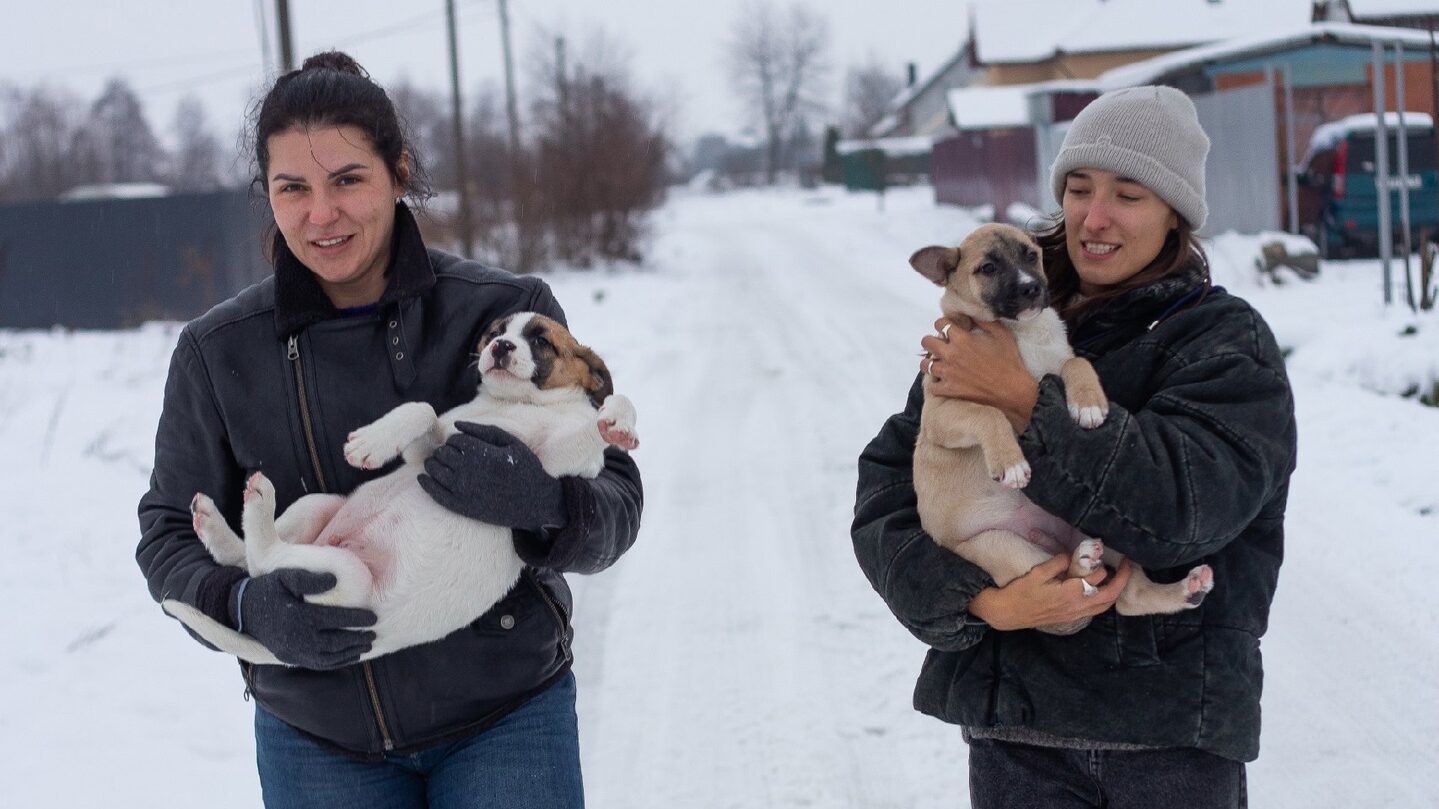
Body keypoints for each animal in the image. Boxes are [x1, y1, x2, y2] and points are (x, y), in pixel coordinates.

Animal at [160, 308, 638, 662]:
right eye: (497, 332)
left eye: (541, 341)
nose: (500, 347)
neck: (514, 405)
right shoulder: (430, 453)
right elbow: (421, 408)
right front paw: (372, 443)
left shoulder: (554, 461)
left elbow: (600, 422)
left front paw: (618, 422)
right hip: (318, 509)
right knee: (249, 561)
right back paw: (216, 522)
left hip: (344, 576)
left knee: (261, 560)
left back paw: (250, 503)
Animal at [903, 221, 1208, 630]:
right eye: (988, 268)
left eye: (1031, 255)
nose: (1031, 288)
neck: (1022, 333)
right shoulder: (942, 411)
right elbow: (989, 414)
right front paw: (1012, 464)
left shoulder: (1057, 362)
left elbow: (1078, 363)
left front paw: (1090, 405)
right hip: (1002, 546)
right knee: (1068, 588)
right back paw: (1084, 562)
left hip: (1104, 526)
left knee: (1127, 597)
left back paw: (1188, 587)